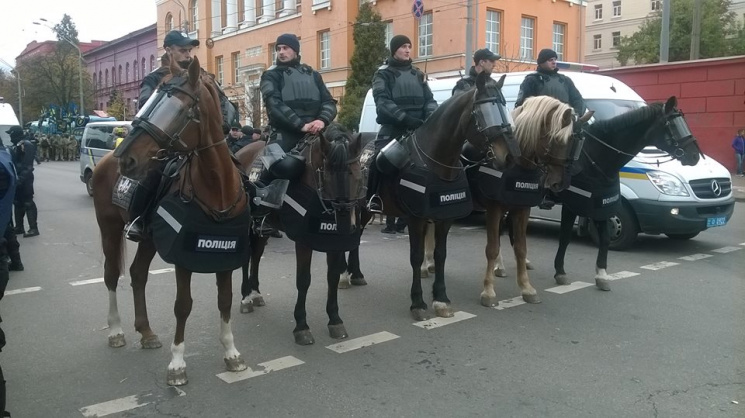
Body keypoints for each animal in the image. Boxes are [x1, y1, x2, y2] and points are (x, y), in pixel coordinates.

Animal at [91, 55, 248, 386]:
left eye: (175, 107)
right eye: (150, 100)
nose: (126, 159)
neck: (217, 189)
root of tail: (105, 160)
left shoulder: (225, 257)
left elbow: (225, 300)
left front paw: (231, 353)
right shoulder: (183, 261)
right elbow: (183, 306)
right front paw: (177, 363)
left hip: (149, 238)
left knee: (137, 274)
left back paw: (146, 331)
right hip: (109, 228)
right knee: (111, 275)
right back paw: (116, 330)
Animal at [234, 122, 364, 344]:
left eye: (357, 174)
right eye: (327, 175)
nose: (347, 225)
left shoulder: (334, 243)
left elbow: (332, 277)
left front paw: (335, 319)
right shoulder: (303, 242)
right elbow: (303, 280)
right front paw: (301, 325)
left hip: (263, 229)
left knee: (256, 256)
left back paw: (256, 293)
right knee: (247, 257)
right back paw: (246, 298)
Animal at [476, 97, 592, 306]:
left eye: (578, 145)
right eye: (559, 140)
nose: (560, 183)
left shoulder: (522, 209)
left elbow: (521, 248)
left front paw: (526, 287)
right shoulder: (494, 208)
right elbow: (492, 248)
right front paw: (488, 291)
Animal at [556, 96, 700, 290]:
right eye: (673, 125)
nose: (695, 156)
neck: (594, 156)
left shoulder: (603, 205)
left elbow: (605, 238)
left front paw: (601, 274)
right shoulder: (572, 204)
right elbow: (564, 237)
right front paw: (560, 271)